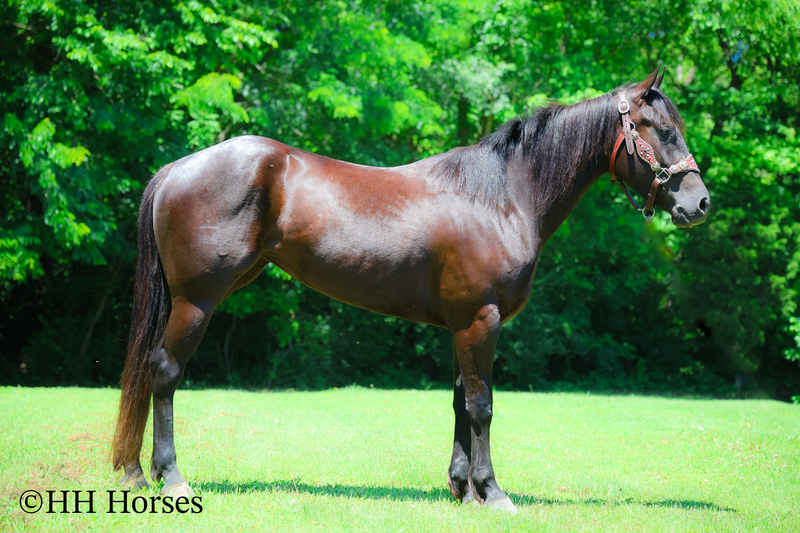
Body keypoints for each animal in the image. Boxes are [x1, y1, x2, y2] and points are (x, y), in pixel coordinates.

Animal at [111, 66, 710, 512]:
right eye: (661, 129)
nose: (699, 204)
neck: (500, 197)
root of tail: (178, 168)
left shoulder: (462, 324)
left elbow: (460, 403)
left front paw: (462, 489)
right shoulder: (481, 319)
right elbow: (483, 405)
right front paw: (493, 493)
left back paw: (136, 474)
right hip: (196, 301)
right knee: (164, 372)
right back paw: (170, 478)